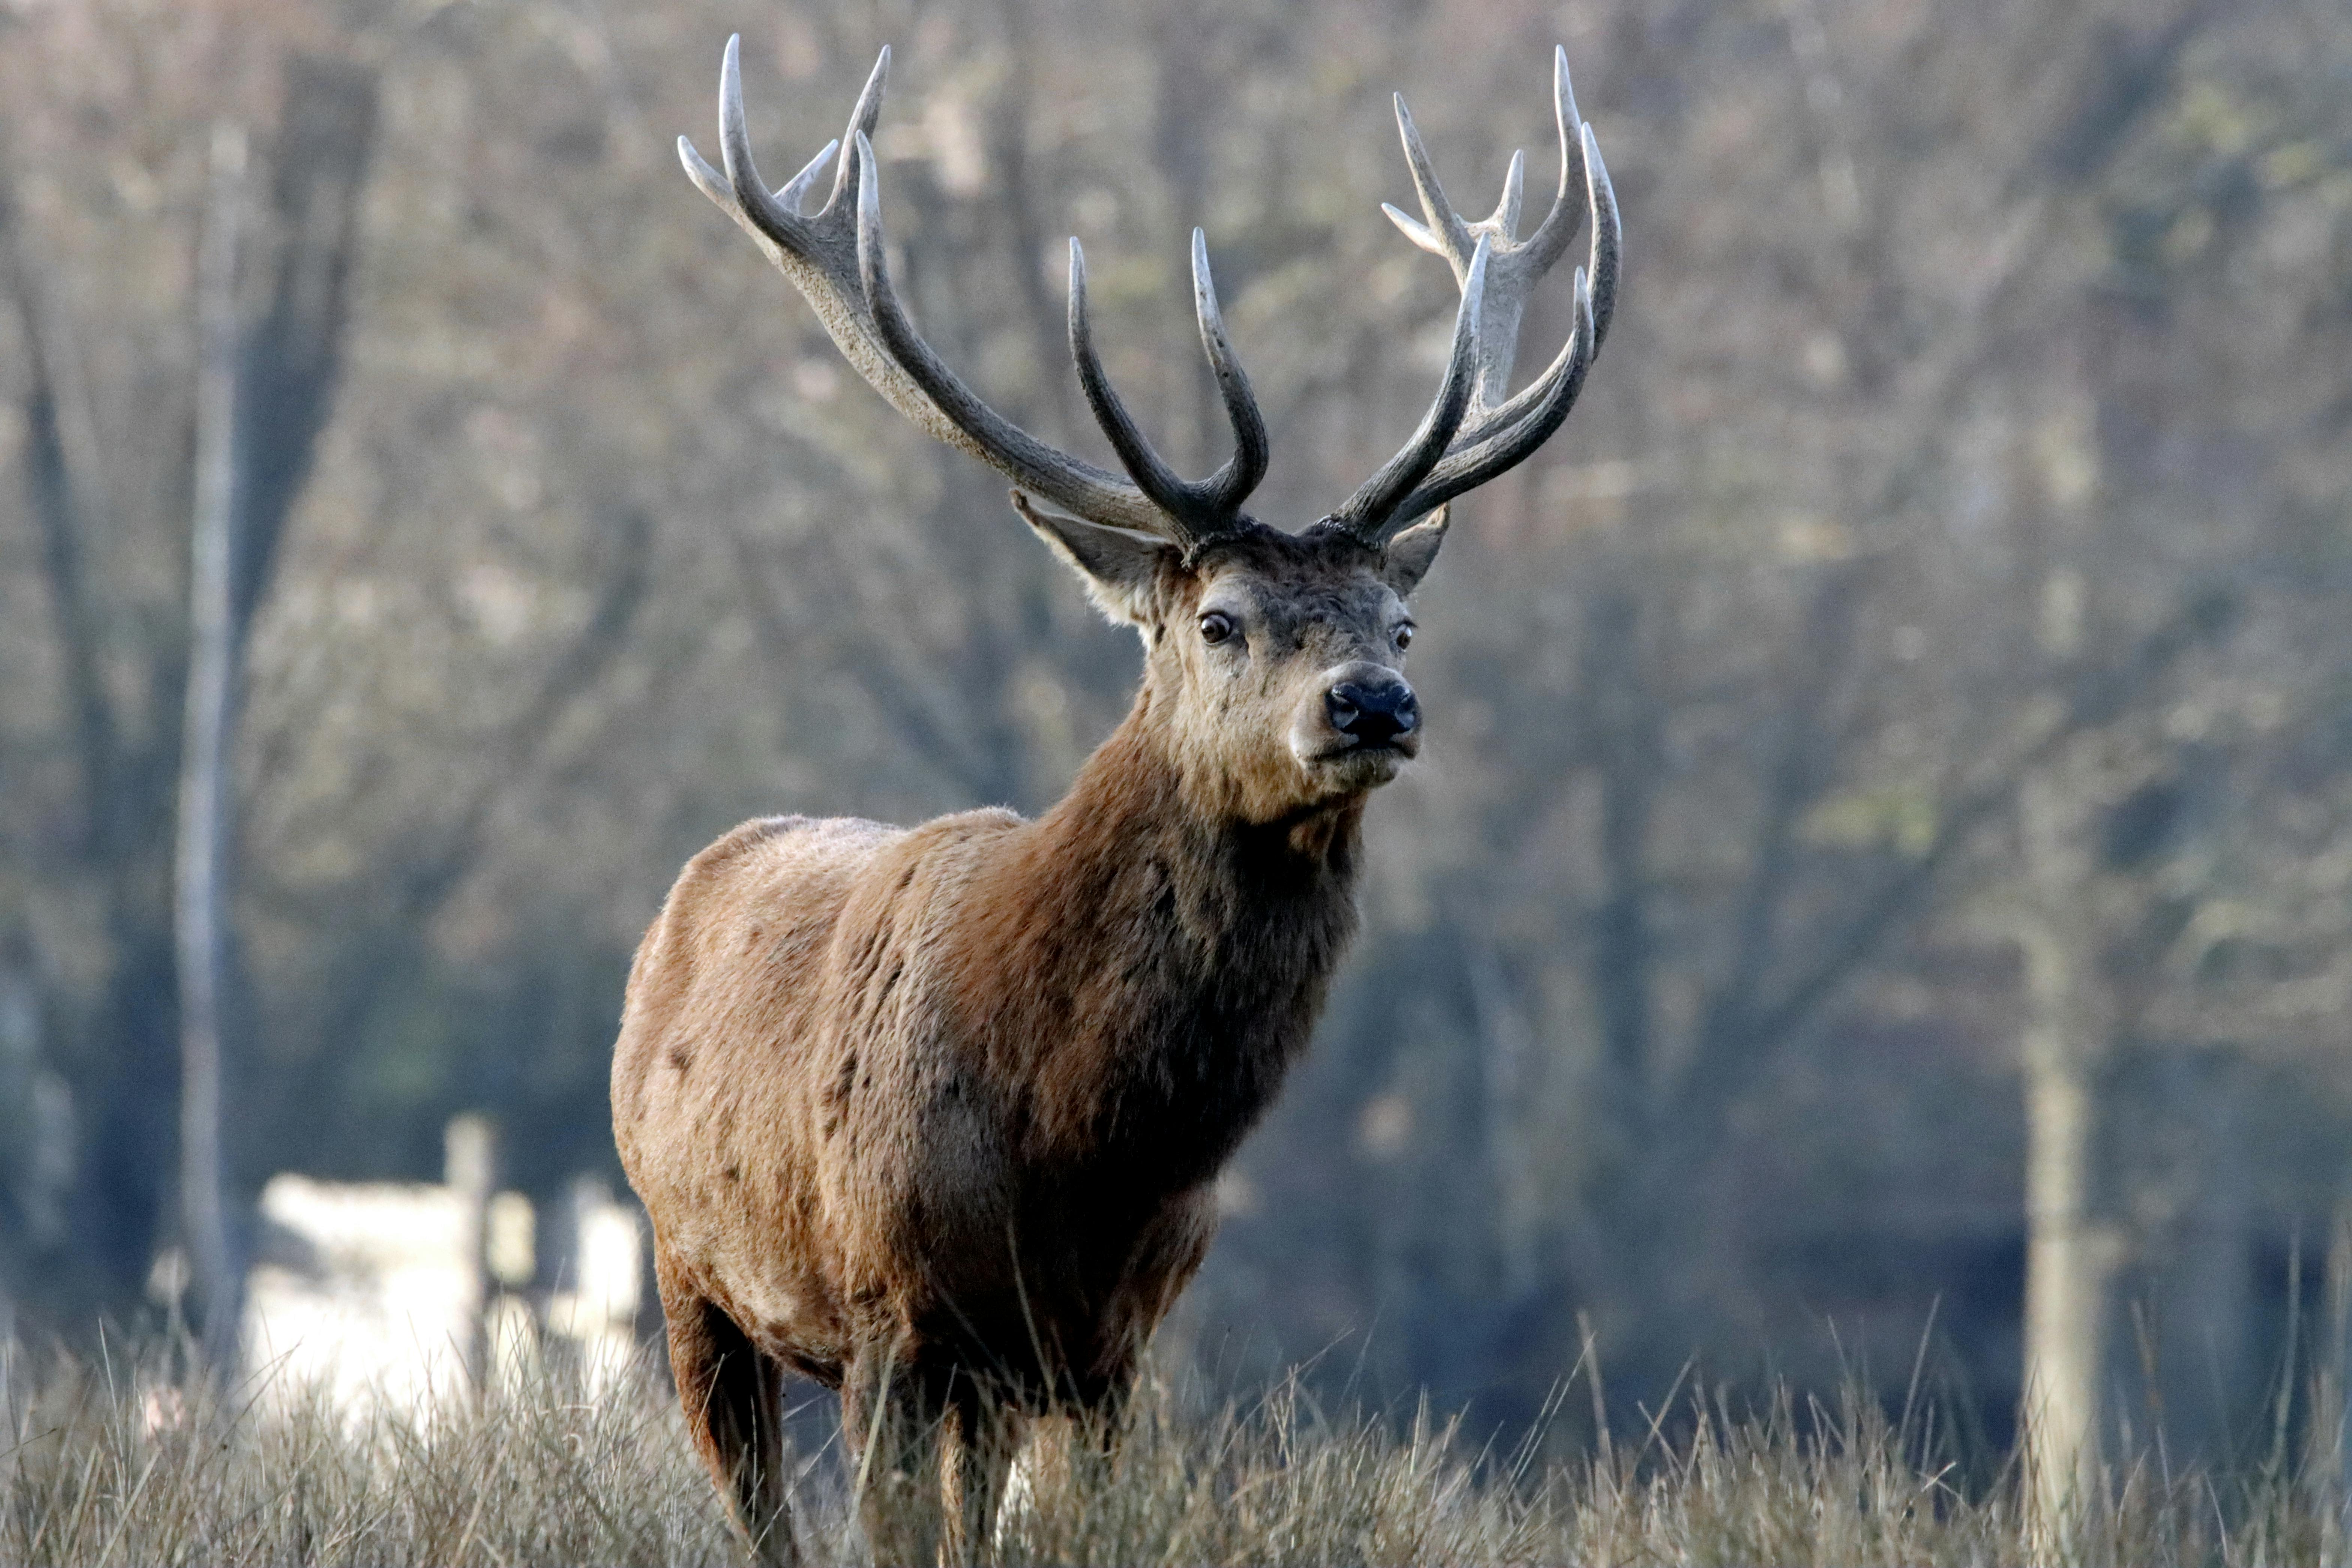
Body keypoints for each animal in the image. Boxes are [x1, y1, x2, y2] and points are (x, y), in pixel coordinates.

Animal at [611, 31, 1617, 1567]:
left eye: (1401, 623)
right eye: (1220, 619)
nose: (1372, 707)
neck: (1074, 1147)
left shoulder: (1111, 1344)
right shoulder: (891, 1315)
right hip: (687, 1268)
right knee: (757, 1505)